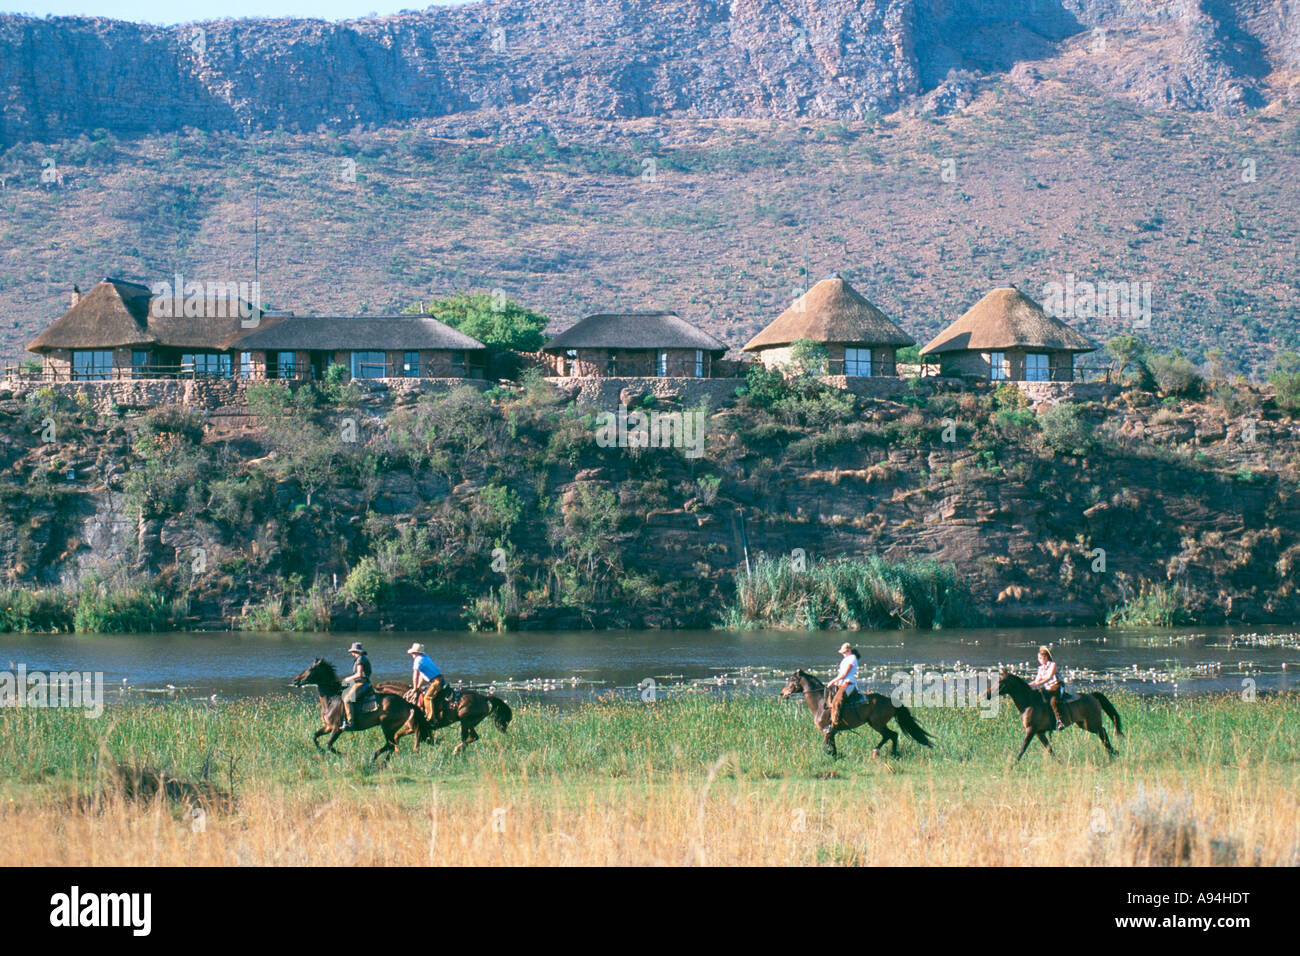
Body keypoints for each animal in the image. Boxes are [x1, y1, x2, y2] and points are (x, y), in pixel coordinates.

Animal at [293, 660, 431, 759]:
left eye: (311, 669)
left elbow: (329, 744)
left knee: (390, 745)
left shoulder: (337, 728)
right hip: (390, 728)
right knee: (391, 745)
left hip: (387, 726)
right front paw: (322, 752)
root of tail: (407, 703)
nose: (295, 680)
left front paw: (344, 755)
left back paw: (374, 759)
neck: (331, 699)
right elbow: (315, 737)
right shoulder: (328, 727)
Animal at [371, 676, 512, 749]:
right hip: (469, 723)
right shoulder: (418, 728)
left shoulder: (413, 727)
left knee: (472, 737)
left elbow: (401, 738)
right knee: (470, 737)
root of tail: (484, 697)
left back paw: (456, 750)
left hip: (466, 721)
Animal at [780, 671, 935, 759]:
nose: (782, 693)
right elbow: (831, 746)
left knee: (892, 735)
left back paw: (884, 752)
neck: (820, 702)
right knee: (891, 735)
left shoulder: (827, 730)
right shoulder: (831, 731)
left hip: (877, 724)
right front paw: (835, 756)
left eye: (792, 680)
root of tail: (891, 701)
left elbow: (825, 746)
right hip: (876, 724)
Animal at [987, 665, 1123, 764]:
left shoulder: (1030, 730)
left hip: (1092, 724)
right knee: (1102, 733)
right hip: (1082, 724)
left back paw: (1113, 753)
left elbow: (1022, 748)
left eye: (1000, 681)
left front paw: (1012, 766)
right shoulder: (1038, 732)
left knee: (1103, 732)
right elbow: (1049, 748)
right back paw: (1113, 753)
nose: (986, 694)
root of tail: (1092, 695)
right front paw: (1058, 762)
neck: (1029, 702)